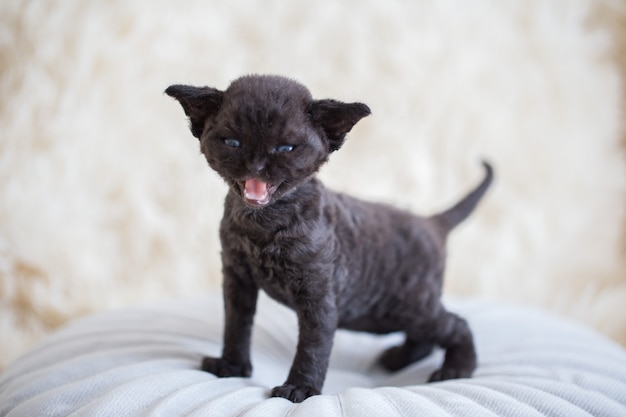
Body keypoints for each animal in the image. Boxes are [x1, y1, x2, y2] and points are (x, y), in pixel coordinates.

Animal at [166, 74, 492, 400]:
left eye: (285, 148)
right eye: (233, 142)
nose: (255, 167)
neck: (262, 225)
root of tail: (431, 222)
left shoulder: (318, 293)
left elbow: (313, 346)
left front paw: (300, 387)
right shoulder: (237, 280)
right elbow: (235, 326)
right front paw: (232, 366)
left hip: (408, 306)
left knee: (456, 324)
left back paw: (456, 369)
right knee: (428, 336)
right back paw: (399, 358)